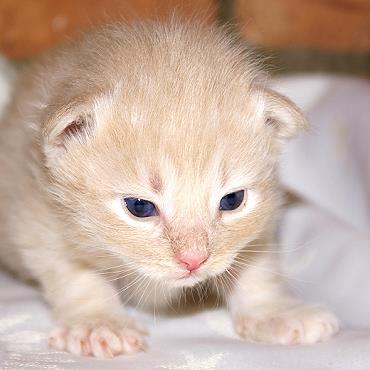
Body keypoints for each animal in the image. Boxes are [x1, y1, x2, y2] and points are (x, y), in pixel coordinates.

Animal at [0, 21, 338, 358]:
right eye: (139, 207)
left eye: (232, 200)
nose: (194, 261)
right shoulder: (34, 216)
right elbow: (76, 276)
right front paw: (99, 323)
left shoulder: (265, 220)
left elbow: (257, 267)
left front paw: (276, 313)